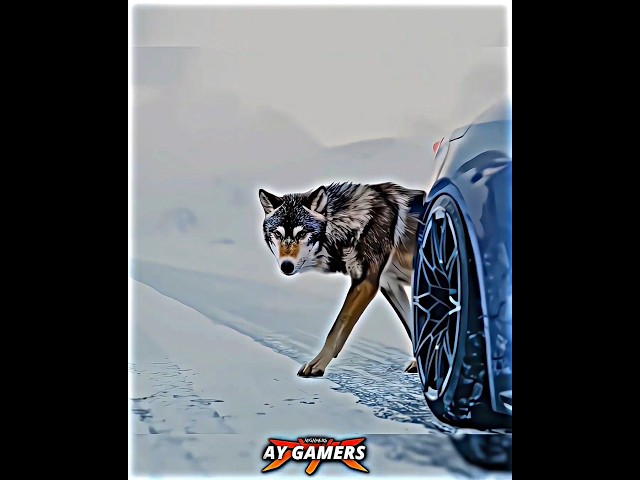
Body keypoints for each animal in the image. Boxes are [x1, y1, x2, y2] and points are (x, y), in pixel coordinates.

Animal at [259, 182, 425, 377]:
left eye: (301, 234)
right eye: (277, 234)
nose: (286, 266)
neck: (351, 223)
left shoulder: (366, 283)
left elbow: (337, 328)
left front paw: (317, 365)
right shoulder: (389, 284)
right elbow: (414, 329)